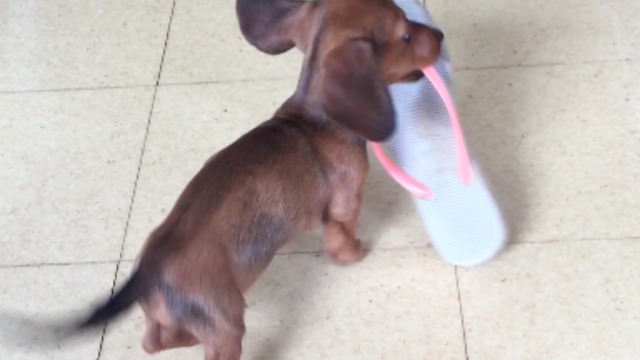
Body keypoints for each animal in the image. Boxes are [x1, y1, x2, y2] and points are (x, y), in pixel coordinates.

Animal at [70, 0, 442, 360]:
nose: (439, 35)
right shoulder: (345, 204)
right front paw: (354, 253)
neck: (318, 119)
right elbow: (343, 239)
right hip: (227, 326)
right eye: (405, 35)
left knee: (154, 342)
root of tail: (149, 272)